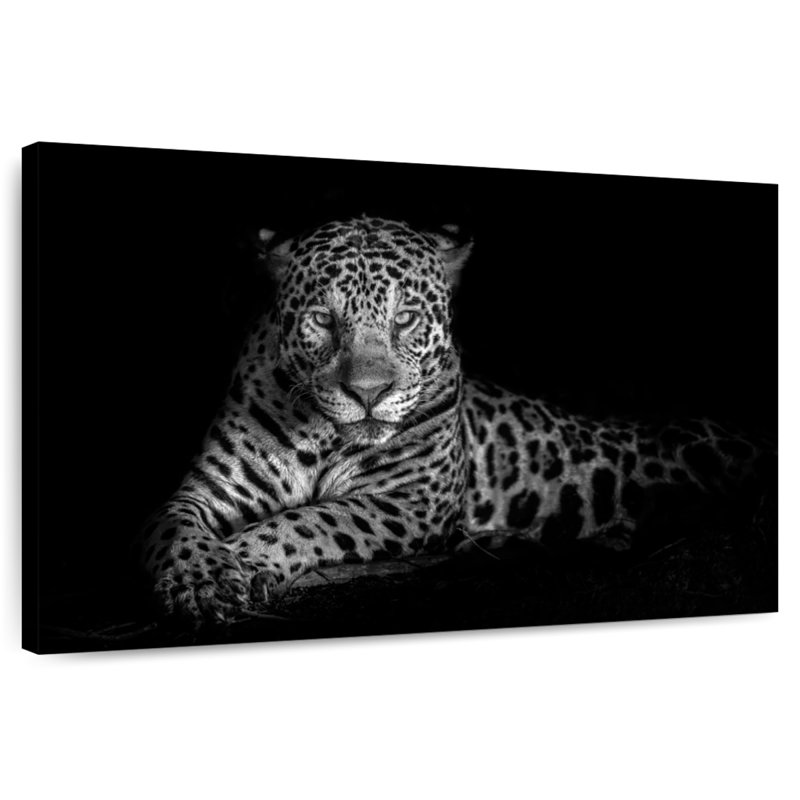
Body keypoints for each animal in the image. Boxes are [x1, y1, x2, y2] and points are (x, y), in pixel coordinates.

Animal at [135, 215, 773, 625]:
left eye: (406, 318)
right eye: (322, 319)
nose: (368, 393)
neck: (320, 434)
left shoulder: (409, 501)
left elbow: (310, 519)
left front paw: (244, 557)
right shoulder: (204, 489)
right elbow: (173, 529)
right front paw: (203, 579)